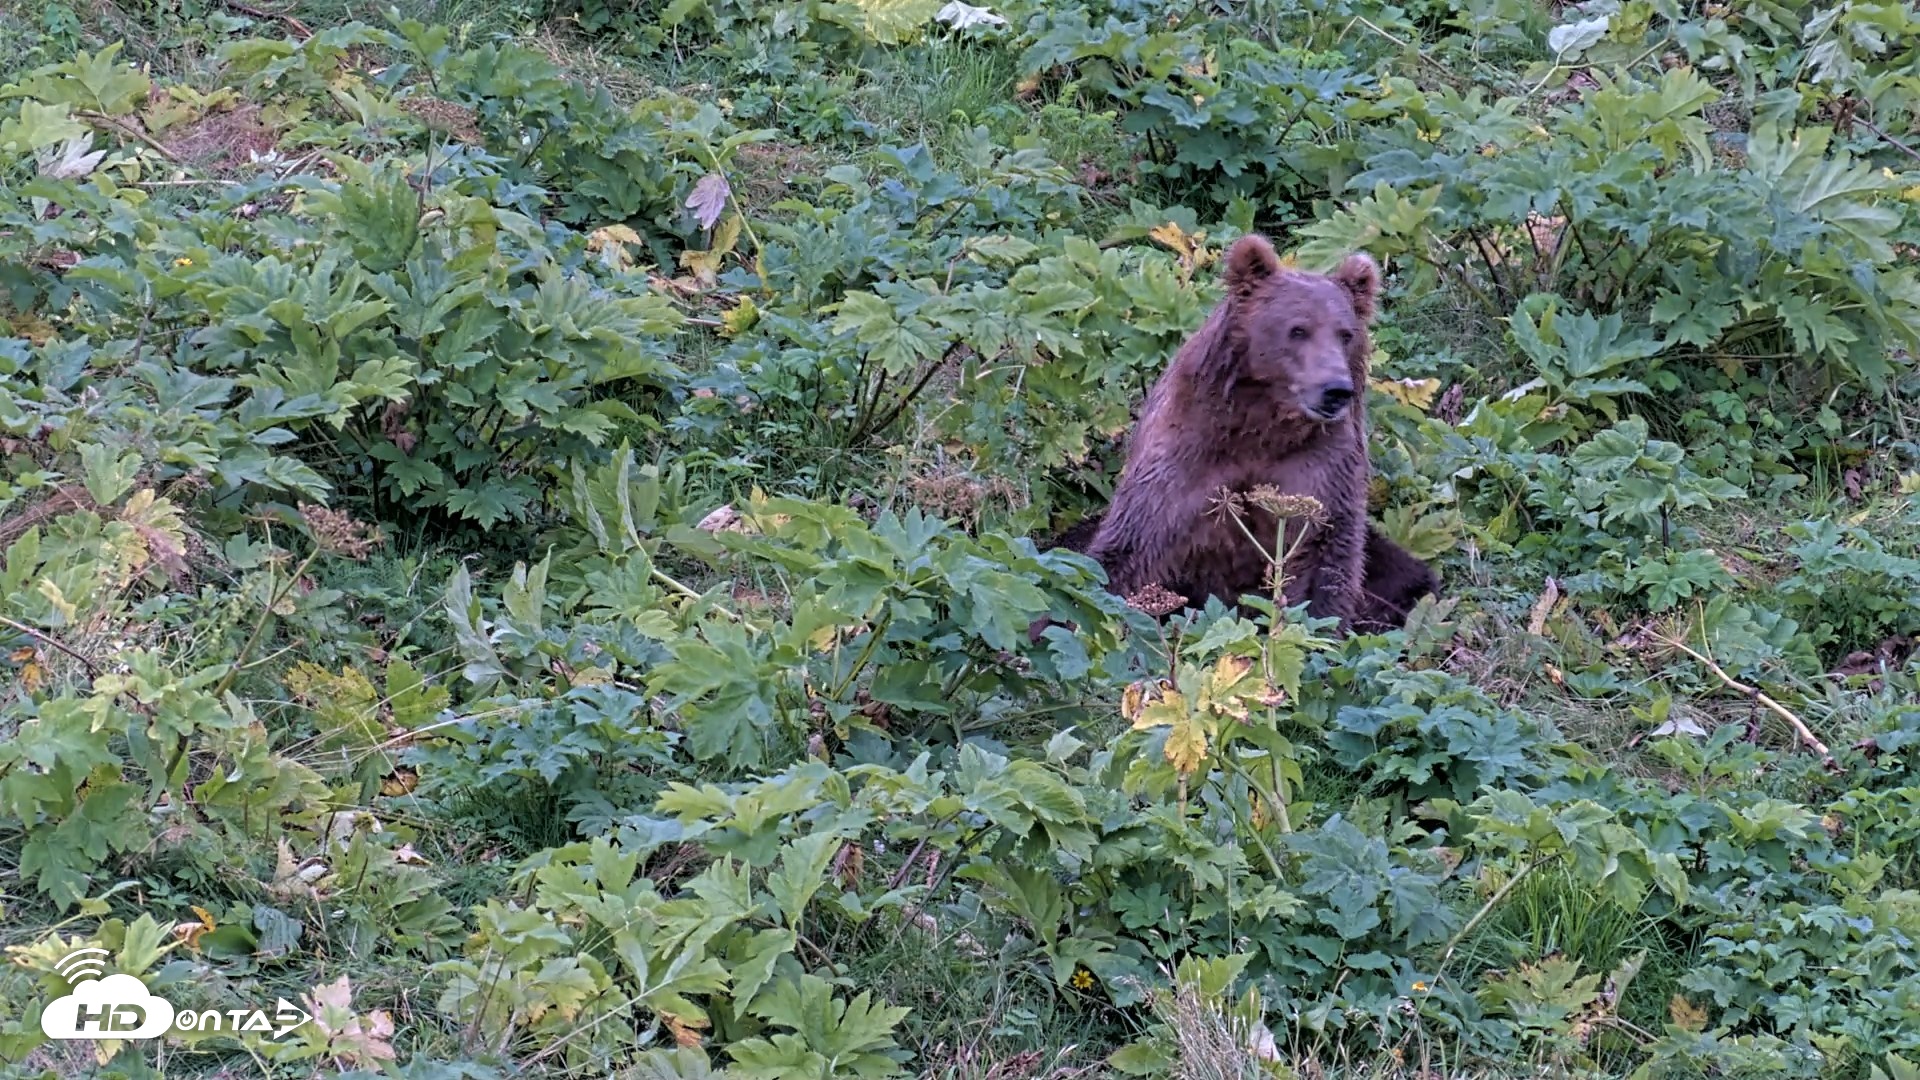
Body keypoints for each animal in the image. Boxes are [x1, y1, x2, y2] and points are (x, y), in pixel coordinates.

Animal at [1054, 232, 1437, 631]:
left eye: (1345, 334)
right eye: (1298, 329)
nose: (1335, 390)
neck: (1262, 423)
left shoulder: (1320, 462)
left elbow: (1324, 552)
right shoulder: (1186, 455)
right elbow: (1128, 549)